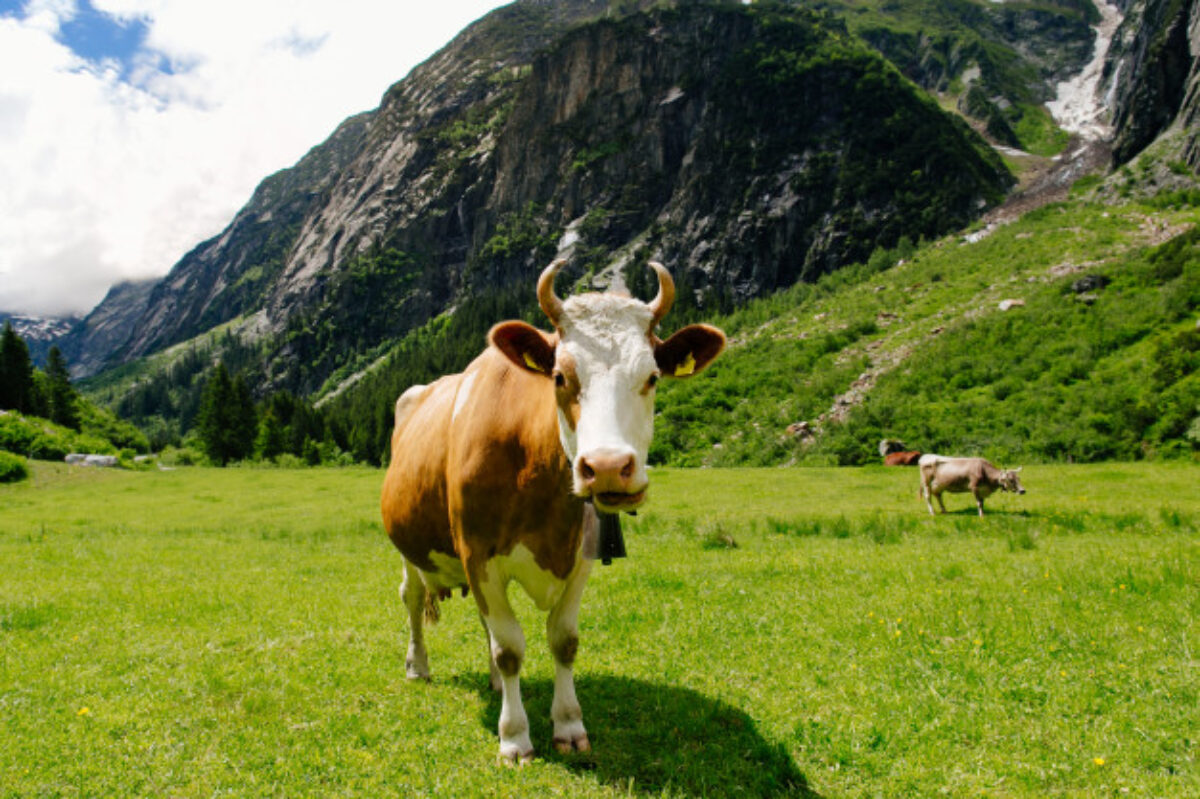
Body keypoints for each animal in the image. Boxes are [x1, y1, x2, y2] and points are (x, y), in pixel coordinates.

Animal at [381, 259, 725, 763]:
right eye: (561, 376)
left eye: (652, 377)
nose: (607, 468)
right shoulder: (478, 555)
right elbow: (510, 648)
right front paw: (514, 737)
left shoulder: (580, 557)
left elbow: (561, 641)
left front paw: (568, 725)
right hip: (407, 546)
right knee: (411, 597)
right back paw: (417, 666)